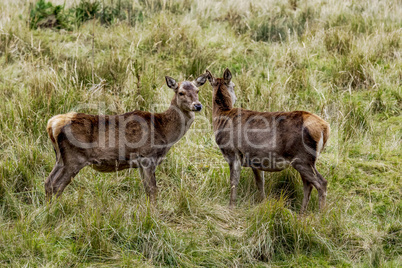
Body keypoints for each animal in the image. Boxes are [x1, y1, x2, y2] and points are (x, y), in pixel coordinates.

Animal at [45, 72, 209, 204]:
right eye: (181, 92)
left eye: (197, 90)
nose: (198, 105)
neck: (164, 131)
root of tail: (52, 123)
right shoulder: (147, 156)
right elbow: (153, 191)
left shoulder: (141, 163)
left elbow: (147, 190)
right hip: (74, 158)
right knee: (56, 185)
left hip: (60, 158)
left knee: (48, 182)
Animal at [207, 69, 330, 214]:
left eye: (234, 86)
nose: (236, 97)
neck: (222, 117)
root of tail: (325, 128)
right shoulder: (254, 160)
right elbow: (260, 184)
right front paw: (263, 204)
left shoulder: (233, 152)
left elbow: (233, 182)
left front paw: (231, 207)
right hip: (306, 160)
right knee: (308, 185)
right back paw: (302, 214)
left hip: (302, 158)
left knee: (321, 183)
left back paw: (320, 214)